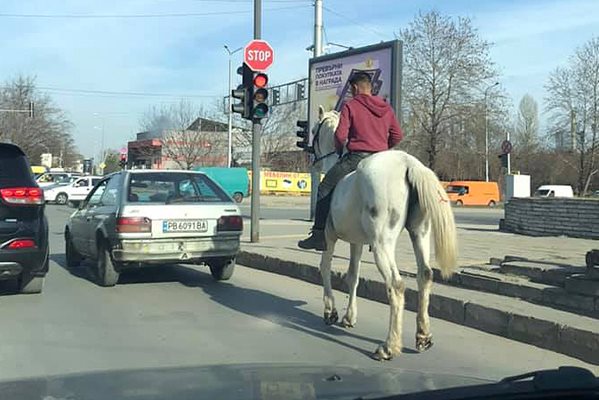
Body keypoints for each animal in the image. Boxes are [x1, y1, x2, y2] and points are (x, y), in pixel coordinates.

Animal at [312, 105, 458, 360]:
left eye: (313, 130)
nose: (311, 156)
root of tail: (408, 163)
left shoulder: (329, 238)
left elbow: (325, 267)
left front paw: (330, 311)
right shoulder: (357, 243)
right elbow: (353, 276)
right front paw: (349, 317)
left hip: (382, 243)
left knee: (396, 285)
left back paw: (389, 346)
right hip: (419, 233)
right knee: (425, 275)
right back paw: (423, 336)